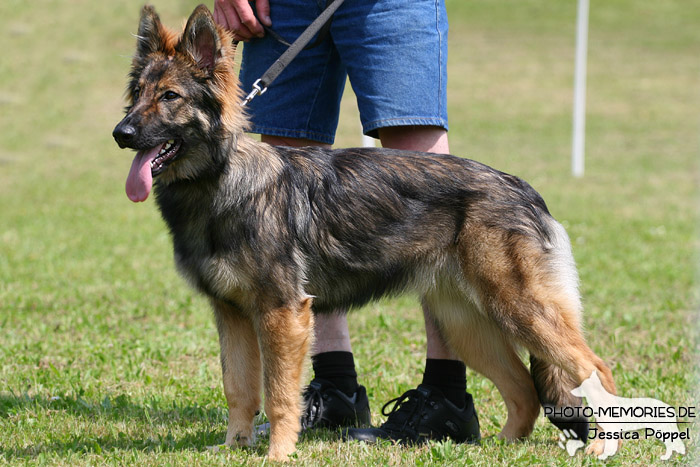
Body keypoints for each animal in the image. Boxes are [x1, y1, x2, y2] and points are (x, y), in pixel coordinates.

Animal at [115, 5, 616, 462]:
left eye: (170, 97)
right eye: (137, 94)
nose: (121, 133)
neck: (221, 181)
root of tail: (523, 188)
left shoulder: (282, 313)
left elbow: (278, 395)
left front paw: (277, 453)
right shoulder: (232, 314)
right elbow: (238, 389)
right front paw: (233, 447)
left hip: (521, 312)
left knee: (595, 368)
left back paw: (598, 447)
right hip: (467, 325)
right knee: (525, 389)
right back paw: (500, 446)